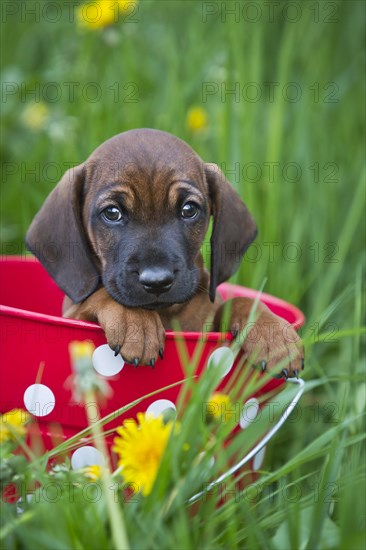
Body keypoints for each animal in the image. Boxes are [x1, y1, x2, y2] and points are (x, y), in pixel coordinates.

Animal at [25, 130, 304, 380]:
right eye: (112, 213)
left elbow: (240, 301)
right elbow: (101, 294)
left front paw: (273, 333)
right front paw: (136, 321)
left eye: (189, 209)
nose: (157, 281)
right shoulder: (73, 313)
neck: (165, 313)